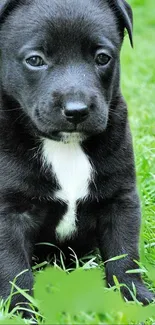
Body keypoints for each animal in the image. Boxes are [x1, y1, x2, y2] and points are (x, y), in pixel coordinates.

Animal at [0, 0, 153, 314]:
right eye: (35, 60)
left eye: (102, 58)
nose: (77, 110)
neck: (65, 146)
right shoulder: (10, 212)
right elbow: (13, 267)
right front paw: (19, 310)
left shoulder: (120, 200)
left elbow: (124, 254)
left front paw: (134, 297)